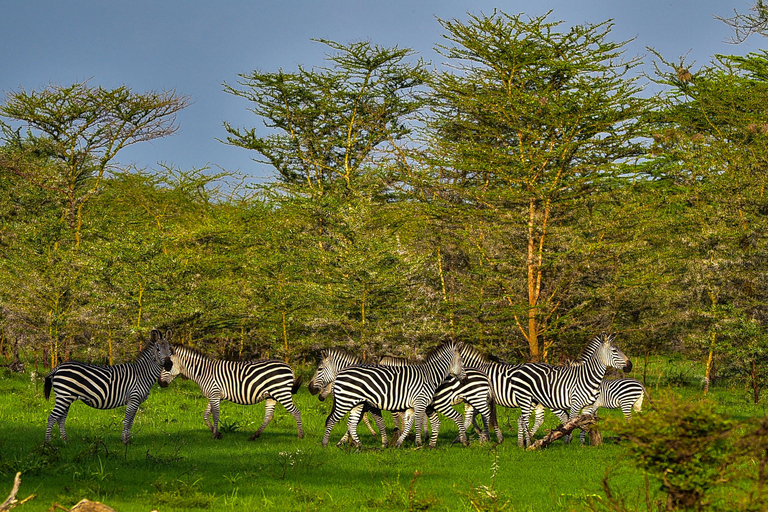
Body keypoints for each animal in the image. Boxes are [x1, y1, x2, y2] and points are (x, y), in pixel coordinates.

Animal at [46, 328, 176, 444]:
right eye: (158, 349)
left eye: (170, 348)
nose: (169, 364)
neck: (142, 373)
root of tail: (59, 366)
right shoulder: (133, 398)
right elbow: (128, 421)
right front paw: (124, 441)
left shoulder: (136, 401)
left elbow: (131, 421)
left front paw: (126, 440)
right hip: (64, 396)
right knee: (52, 417)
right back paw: (48, 444)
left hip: (66, 397)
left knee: (61, 419)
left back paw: (65, 441)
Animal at [158, 344, 304, 440]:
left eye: (167, 365)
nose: (160, 383)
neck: (203, 372)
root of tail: (289, 367)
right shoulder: (214, 395)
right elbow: (205, 415)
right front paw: (217, 433)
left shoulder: (215, 394)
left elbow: (215, 415)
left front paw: (214, 435)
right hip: (271, 396)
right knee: (269, 416)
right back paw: (254, 436)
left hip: (282, 393)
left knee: (296, 412)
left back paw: (300, 436)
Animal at [320, 344, 464, 448]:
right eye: (461, 361)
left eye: (319, 369)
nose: (319, 396)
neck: (430, 375)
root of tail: (340, 373)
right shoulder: (417, 402)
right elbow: (410, 423)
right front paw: (413, 442)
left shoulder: (413, 404)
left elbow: (407, 423)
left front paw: (399, 441)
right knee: (334, 420)